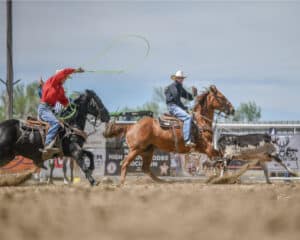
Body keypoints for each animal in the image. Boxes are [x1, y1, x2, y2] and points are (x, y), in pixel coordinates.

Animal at [103, 85, 234, 184]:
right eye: (221, 97)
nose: (232, 109)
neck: (200, 122)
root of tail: (131, 126)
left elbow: (223, 158)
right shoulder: (207, 148)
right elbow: (221, 158)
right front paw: (225, 178)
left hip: (147, 151)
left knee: (145, 168)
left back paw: (162, 181)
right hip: (135, 149)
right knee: (125, 163)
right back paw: (122, 182)